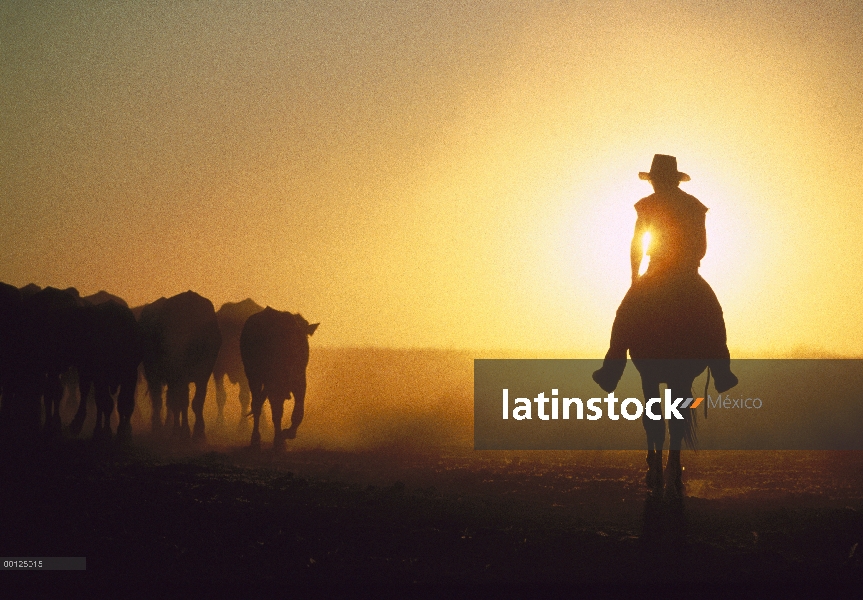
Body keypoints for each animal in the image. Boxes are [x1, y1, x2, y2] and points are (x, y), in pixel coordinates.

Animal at [140, 290, 221, 440]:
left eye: (193, 337)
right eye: (164, 336)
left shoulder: (203, 374)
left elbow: (197, 402)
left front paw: (199, 432)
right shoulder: (176, 377)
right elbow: (180, 402)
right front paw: (181, 431)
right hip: (153, 373)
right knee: (158, 400)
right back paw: (158, 428)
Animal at [241, 310, 318, 450]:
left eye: (302, 337)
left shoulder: (299, 382)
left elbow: (298, 412)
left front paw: (287, 433)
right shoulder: (275, 386)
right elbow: (277, 412)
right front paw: (279, 439)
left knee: (259, 403)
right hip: (253, 376)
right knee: (256, 404)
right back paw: (255, 438)